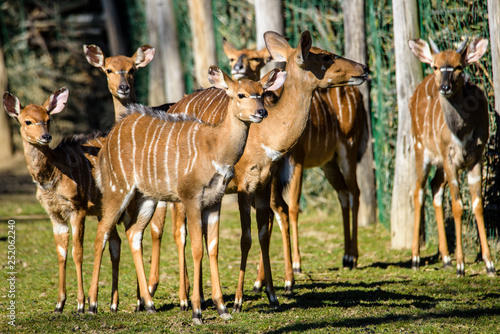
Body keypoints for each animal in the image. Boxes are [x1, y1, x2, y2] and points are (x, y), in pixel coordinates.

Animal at [2, 88, 123, 314]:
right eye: (27, 121)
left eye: (48, 119)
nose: (46, 136)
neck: (52, 178)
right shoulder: (55, 215)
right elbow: (61, 254)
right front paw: (59, 304)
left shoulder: (78, 209)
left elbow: (77, 252)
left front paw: (80, 304)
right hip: (104, 210)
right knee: (114, 242)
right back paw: (112, 304)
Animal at [84, 43, 168, 304]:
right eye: (108, 69)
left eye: (132, 69)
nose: (123, 87)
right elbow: (119, 241)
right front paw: (122, 301)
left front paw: (142, 296)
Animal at [88, 65, 288, 324]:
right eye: (240, 94)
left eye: (262, 93)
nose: (261, 112)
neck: (214, 147)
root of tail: (111, 136)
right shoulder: (191, 198)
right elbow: (197, 248)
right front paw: (196, 311)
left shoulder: (214, 201)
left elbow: (213, 247)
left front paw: (222, 309)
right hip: (118, 189)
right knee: (102, 232)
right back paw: (91, 305)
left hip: (147, 197)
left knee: (133, 233)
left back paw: (149, 305)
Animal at [168, 30, 368, 314]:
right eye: (326, 56)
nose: (364, 68)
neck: (265, 135)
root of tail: (173, 106)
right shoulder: (243, 186)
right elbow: (246, 237)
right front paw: (239, 301)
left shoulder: (263, 184)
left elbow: (263, 233)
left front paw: (272, 295)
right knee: (180, 232)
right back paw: (185, 299)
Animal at [408, 37, 494, 276]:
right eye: (436, 66)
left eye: (458, 67)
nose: (444, 87)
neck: (462, 132)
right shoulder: (450, 158)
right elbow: (457, 206)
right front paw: (461, 266)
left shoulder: (476, 157)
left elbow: (477, 204)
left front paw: (490, 264)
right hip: (421, 150)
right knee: (418, 191)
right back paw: (415, 258)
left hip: (438, 163)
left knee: (435, 188)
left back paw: (445, 257)